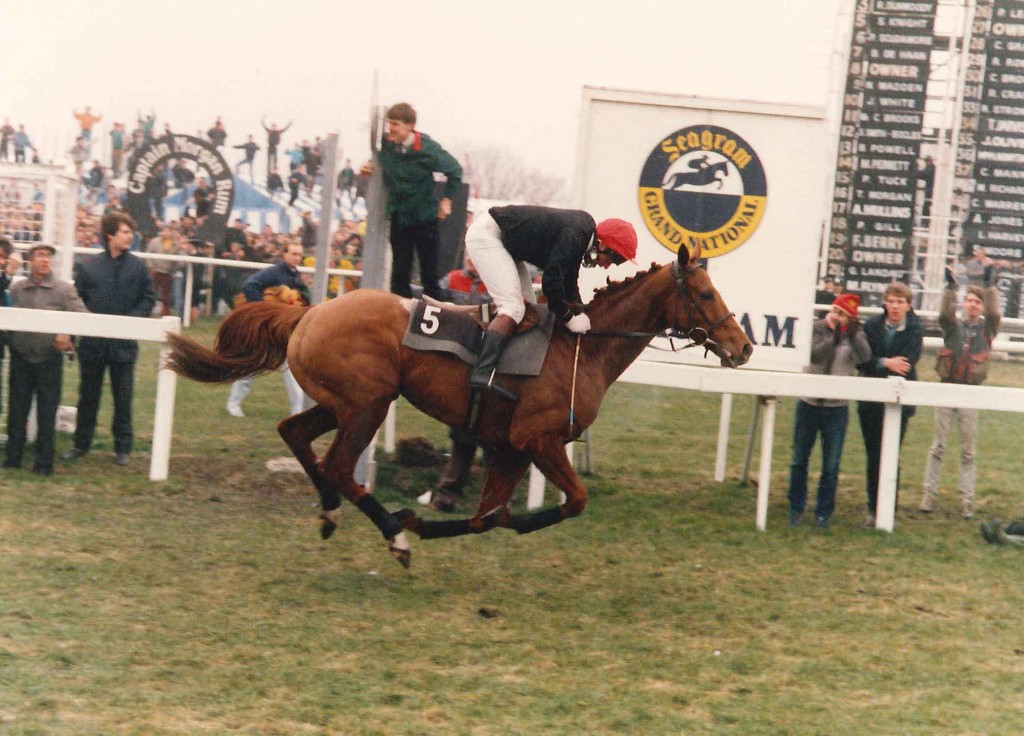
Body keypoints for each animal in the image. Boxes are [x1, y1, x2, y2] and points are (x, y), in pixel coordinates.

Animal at [163, 244, 749, 569]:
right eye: (704, 294)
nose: (743, 347)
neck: (581, 347)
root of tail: (308, 311)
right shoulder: (538, 439)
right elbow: (573, 501)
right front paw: (419, 523)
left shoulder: (512, 446)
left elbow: (486, 517)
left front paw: (443, 520)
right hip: (369, 403)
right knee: (340, 465)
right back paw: (392, 534)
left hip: (342, 402)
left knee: (295, 433)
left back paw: (331, 510)